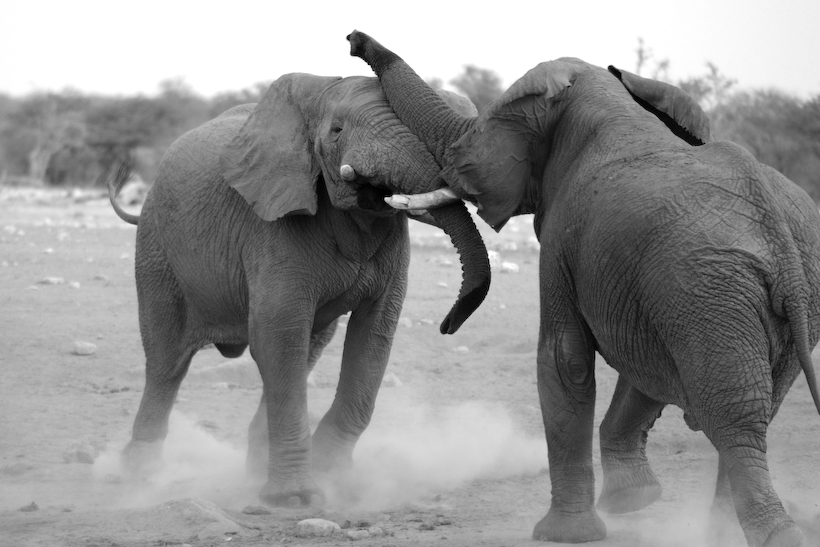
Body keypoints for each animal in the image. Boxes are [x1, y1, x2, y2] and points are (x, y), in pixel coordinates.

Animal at [105, 73, 490, 510]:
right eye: (336, 130)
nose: (448, 324)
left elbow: (373, 336)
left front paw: (338, 480)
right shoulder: (271, 226)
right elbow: (279, 336)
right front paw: (297, 499)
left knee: (309, 348)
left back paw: (252, 469)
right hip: (158, 251)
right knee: (167, 360)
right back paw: (141, 478)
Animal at [350, 31, 820, 547]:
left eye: (478, 136)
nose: (353, 39)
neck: (608, 103)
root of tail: (779, 237)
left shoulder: (563, 239)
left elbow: (565, 358)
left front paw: (563, 534)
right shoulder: (640, 286)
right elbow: (644, 368)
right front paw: (632, 501)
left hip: (711, 292)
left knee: (735, 418)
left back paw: (764, 534)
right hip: (770, 298)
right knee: (755, 408)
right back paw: (718, 530)